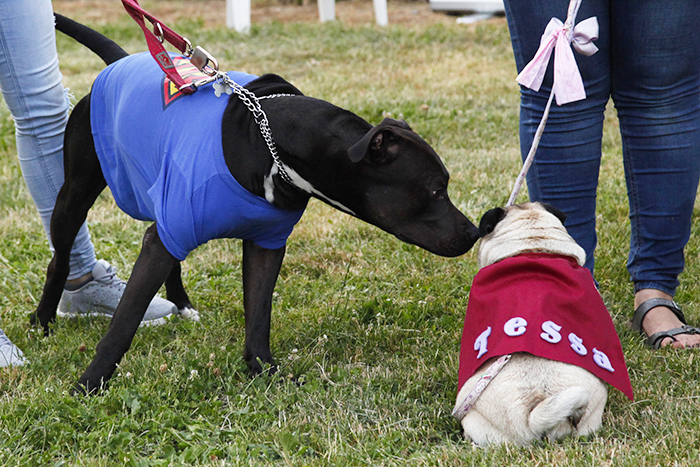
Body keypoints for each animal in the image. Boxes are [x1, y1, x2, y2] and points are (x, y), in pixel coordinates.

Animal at [32, 15, 482, 394]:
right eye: (436, 190)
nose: (475, 231)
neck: (269, 143)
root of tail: (121, 61)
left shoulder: (267, 243)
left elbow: (259, 314)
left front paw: (263, 370)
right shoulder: (173, 227)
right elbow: (124, 321)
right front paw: (90, 383)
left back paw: (181, 304)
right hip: (76, 192)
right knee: (61, 259)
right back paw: (43, 322)